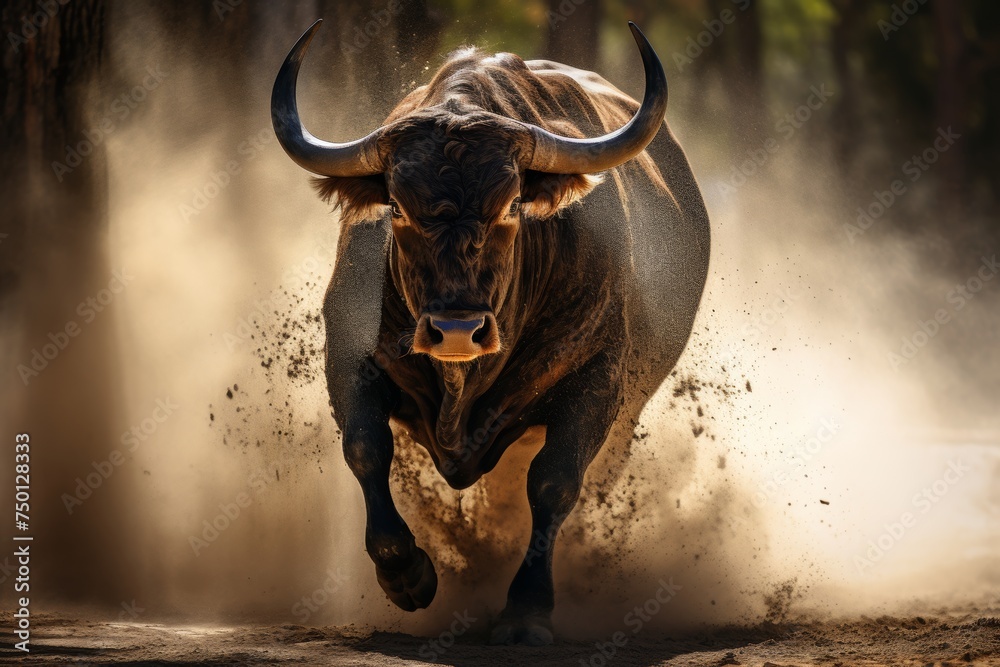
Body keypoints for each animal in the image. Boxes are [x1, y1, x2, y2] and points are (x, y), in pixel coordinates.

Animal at [271, 19, 710, 645]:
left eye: (511, 206)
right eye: (397, 209)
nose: (457, 330)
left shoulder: (597, 383)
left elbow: (554, 483)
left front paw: (527, 608)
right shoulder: (349, 360)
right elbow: (366, 447)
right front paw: (406, 574)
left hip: (627, 414)